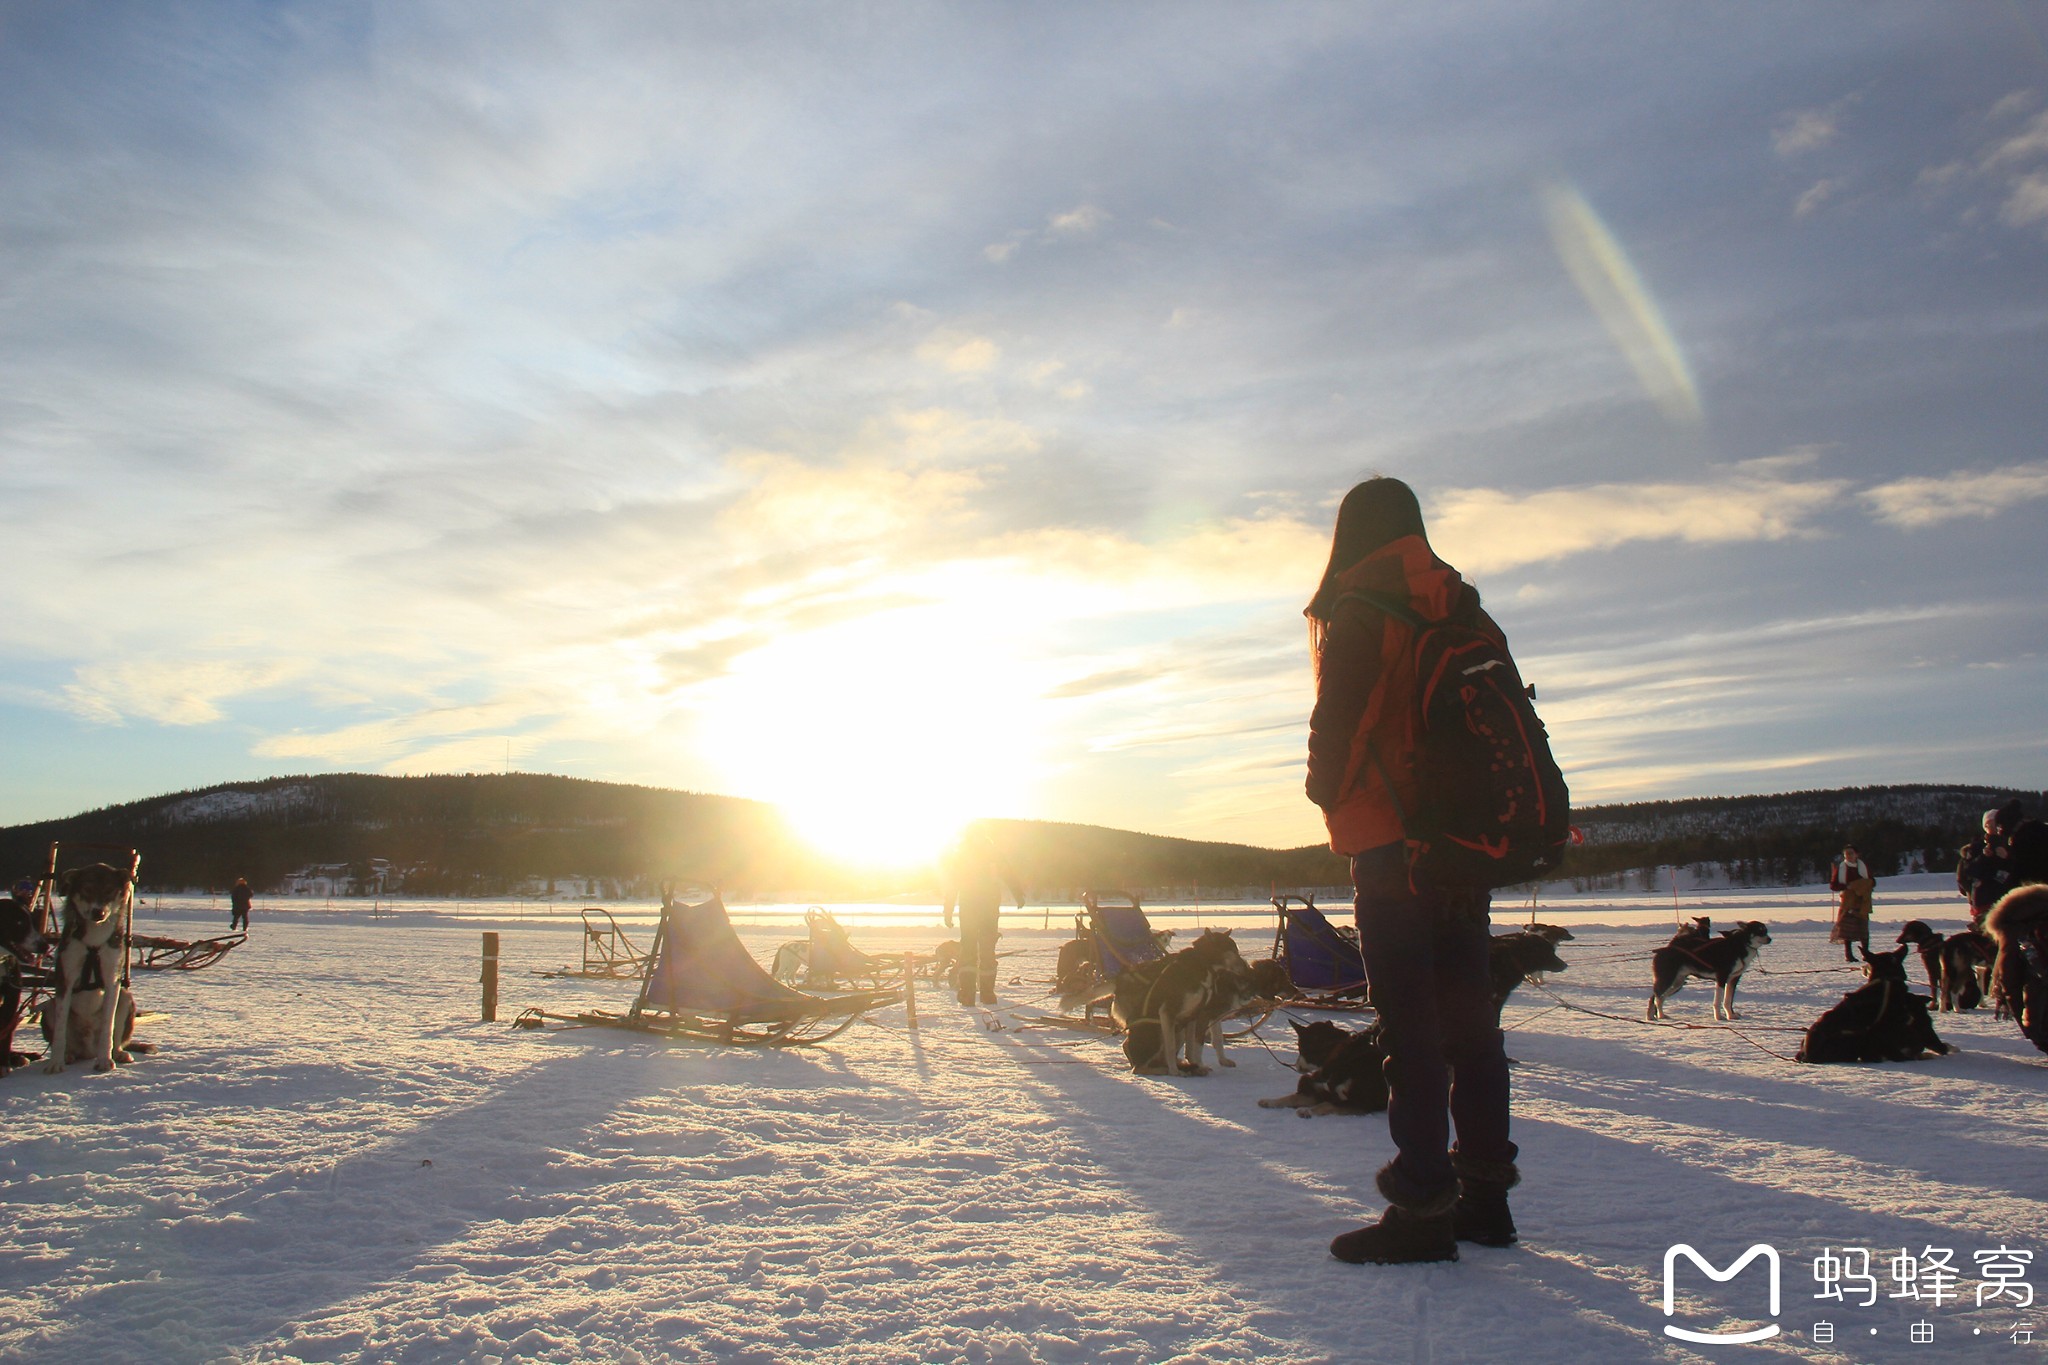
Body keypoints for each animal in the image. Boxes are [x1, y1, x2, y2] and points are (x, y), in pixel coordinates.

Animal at [41, 863, 136, 1080]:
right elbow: (59, 1033)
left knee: (115, 1038)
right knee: (66, 1040)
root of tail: (87, 1050)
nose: (98, 912)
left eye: (109, 891)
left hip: (126, 998)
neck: (94, 941)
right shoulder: (65, 979)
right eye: (86, 889)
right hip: (49, 1006)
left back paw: (118, 1053)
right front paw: (55, 1063)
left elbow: (108, 1028)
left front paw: (105, 1061)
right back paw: (67, 1055)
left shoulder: (112, 979)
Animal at [1122, 929, 1245, 1080]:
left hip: (1179, 1029)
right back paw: (1166, 1069)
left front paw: (1197, 1066)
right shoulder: (1169, 1011)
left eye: (1236, 950)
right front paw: (1174, 1071)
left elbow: (1192, 1047)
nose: (1246, 966)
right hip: (1157, 1031)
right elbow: (1171, 1047)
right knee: (1139, 1068)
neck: (1202, 965)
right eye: (1232, 951)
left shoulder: (1193, 1016)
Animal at [1253, 1019, 1384, 1113]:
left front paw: (1307, 1111)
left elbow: (1326, 1104)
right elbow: (1291, 1097)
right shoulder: (1321, 1093)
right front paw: (1270, 1101)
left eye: (1301, 1049)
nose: (1296, 1066)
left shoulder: (1361, 1101)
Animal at [1638, 925, 1769, 1019]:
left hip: (1677, 984)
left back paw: (1658, 1016)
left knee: (1659, 998)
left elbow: (1728, 1001)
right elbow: (1718, 1001)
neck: (1738, 945)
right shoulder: (1721, 978)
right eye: (1759, 930)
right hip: (1667, 980)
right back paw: (1655, 1016)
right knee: (1656, 998)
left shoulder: (1733, 980)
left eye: (1766, 930)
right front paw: (1719, 1017)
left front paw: (1731, 1015)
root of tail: (1665, 949)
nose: (1770, 939)